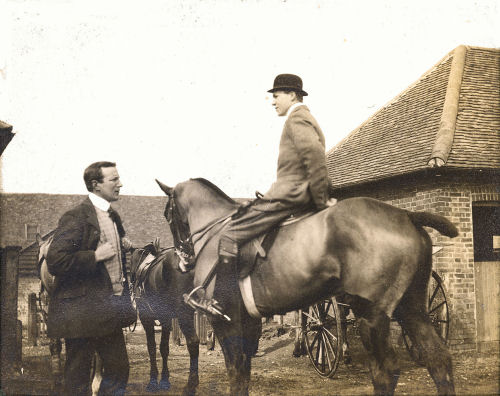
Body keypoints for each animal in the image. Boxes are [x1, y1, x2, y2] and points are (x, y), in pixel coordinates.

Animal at [130, 243, 200, 394]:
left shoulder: (146, 319)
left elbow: (151, 347)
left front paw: (153, 381)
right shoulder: (166, 320)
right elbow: (164, 348)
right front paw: (164, 380)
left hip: (184, 314)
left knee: (193, 342)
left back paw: (191, 384)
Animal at [156, 179, 458, 396]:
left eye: (167, 214)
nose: (183, 257)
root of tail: (407, 214)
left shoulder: (224, 321)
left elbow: (235, 371)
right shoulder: (247, 322)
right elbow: (243, 372)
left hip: (371, 316)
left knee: (386, 371)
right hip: (412, 310)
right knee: (438, 359)